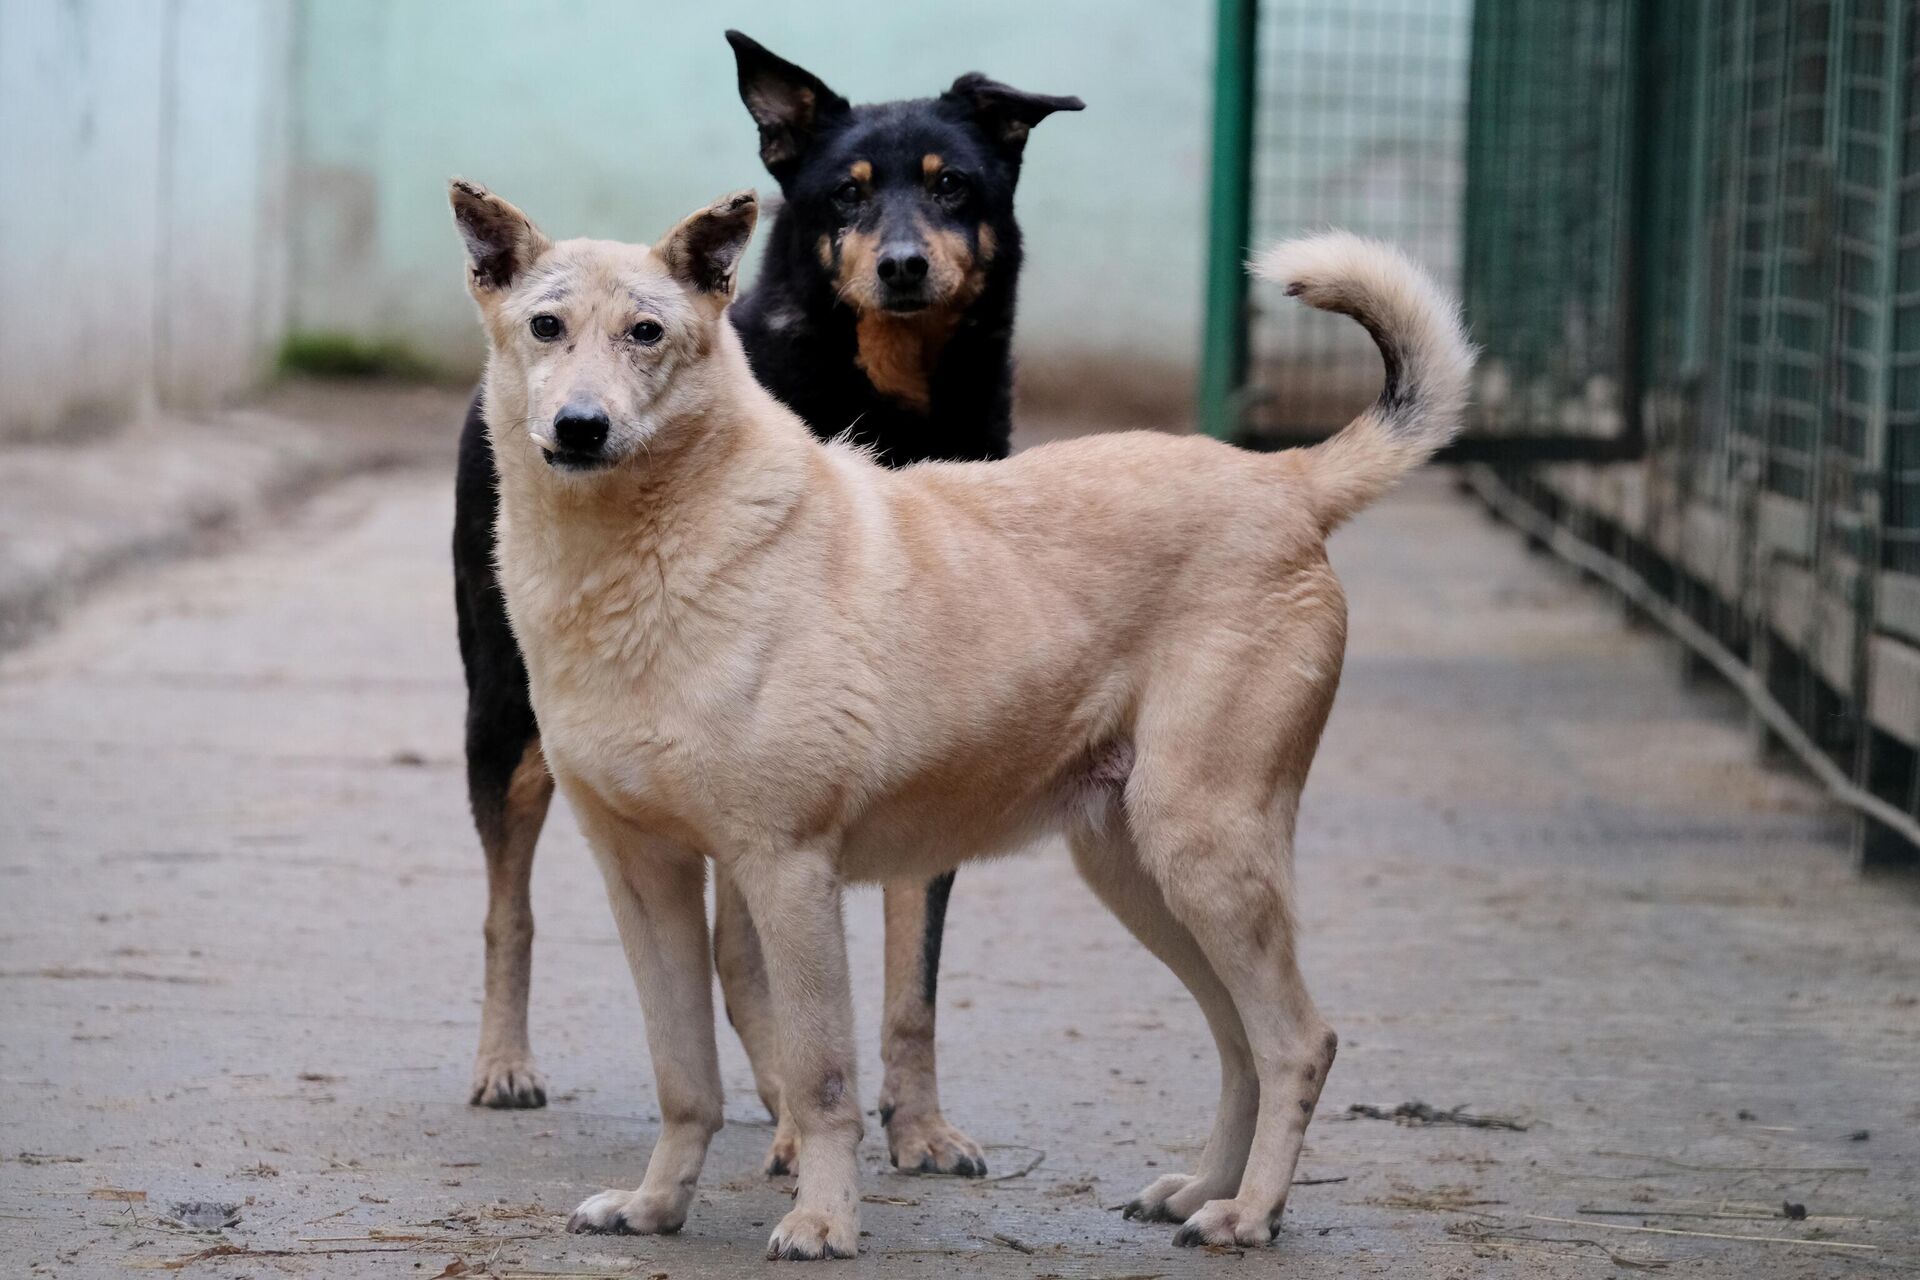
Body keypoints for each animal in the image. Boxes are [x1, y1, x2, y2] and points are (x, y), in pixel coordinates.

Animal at [447, 29, 1082, 1174]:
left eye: (954, 185)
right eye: (847, 193)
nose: (904, 265)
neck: (887, 403)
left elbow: (912, 978)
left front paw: (919, 1124)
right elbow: (750, 965)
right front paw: (805, 1123)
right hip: (504, 716)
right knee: (509, 906)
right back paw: (509, 1062)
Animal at [449, 180, 1466, 1258]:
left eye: (646, 333)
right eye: (545, 327)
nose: (580, 426)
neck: (647, 554)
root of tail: (1285, 479)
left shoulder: (788, 870)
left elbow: (821, 1078)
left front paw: (823, 1218)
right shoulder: (646, 875)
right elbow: (683, 1075)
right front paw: (654, 1206)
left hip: (1205, 851)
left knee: (1298, 1041)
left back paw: (1249, 1212)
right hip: (1141, 872)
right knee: (1240, 1040)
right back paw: (1199, 1190)